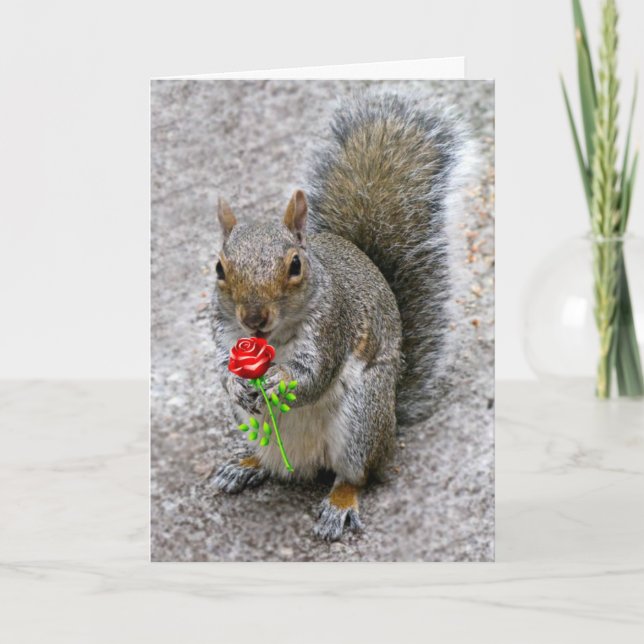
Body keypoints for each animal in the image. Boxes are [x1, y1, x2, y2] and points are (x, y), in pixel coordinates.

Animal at [211, 93, 472, 541]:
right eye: (219, 269)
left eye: (295, 265)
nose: (254, 317)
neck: (273, 340)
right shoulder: (225, 333)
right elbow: (221, 369)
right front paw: (233, 383)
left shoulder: (334, 325)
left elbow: (313, 377)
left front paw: (279, 383)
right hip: (255, 428)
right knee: (274, 465)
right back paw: (245, 466)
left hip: (361, 420)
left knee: (356, 475)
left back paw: (339, 504)